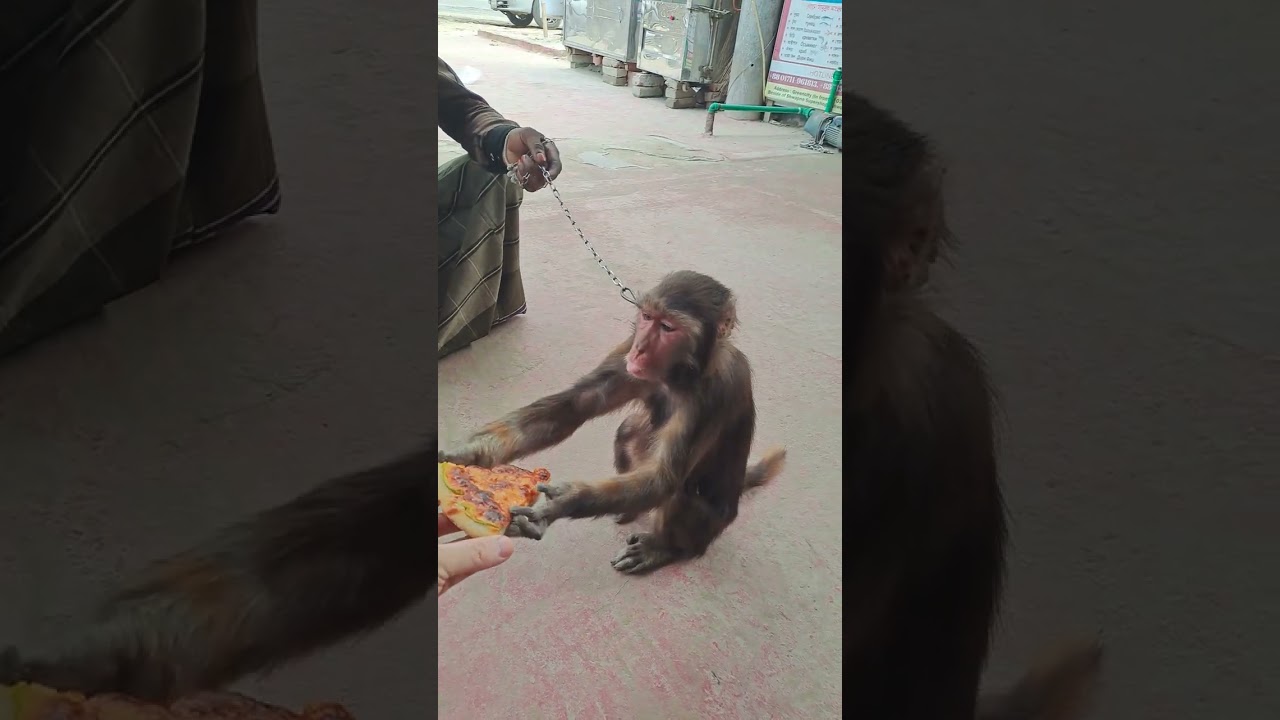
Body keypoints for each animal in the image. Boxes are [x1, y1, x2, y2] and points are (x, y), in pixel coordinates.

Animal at [439, 269, 787, 575]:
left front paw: (564, 502)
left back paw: (665, 548)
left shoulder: (715, 393)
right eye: (647, 317)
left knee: (681, 491)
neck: (683, 373)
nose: (641, 348)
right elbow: (574, 405)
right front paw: (467, 454)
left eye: (668, 327)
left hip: (713, 524)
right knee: (628, 433)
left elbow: (663, 478)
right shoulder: (626, 353)